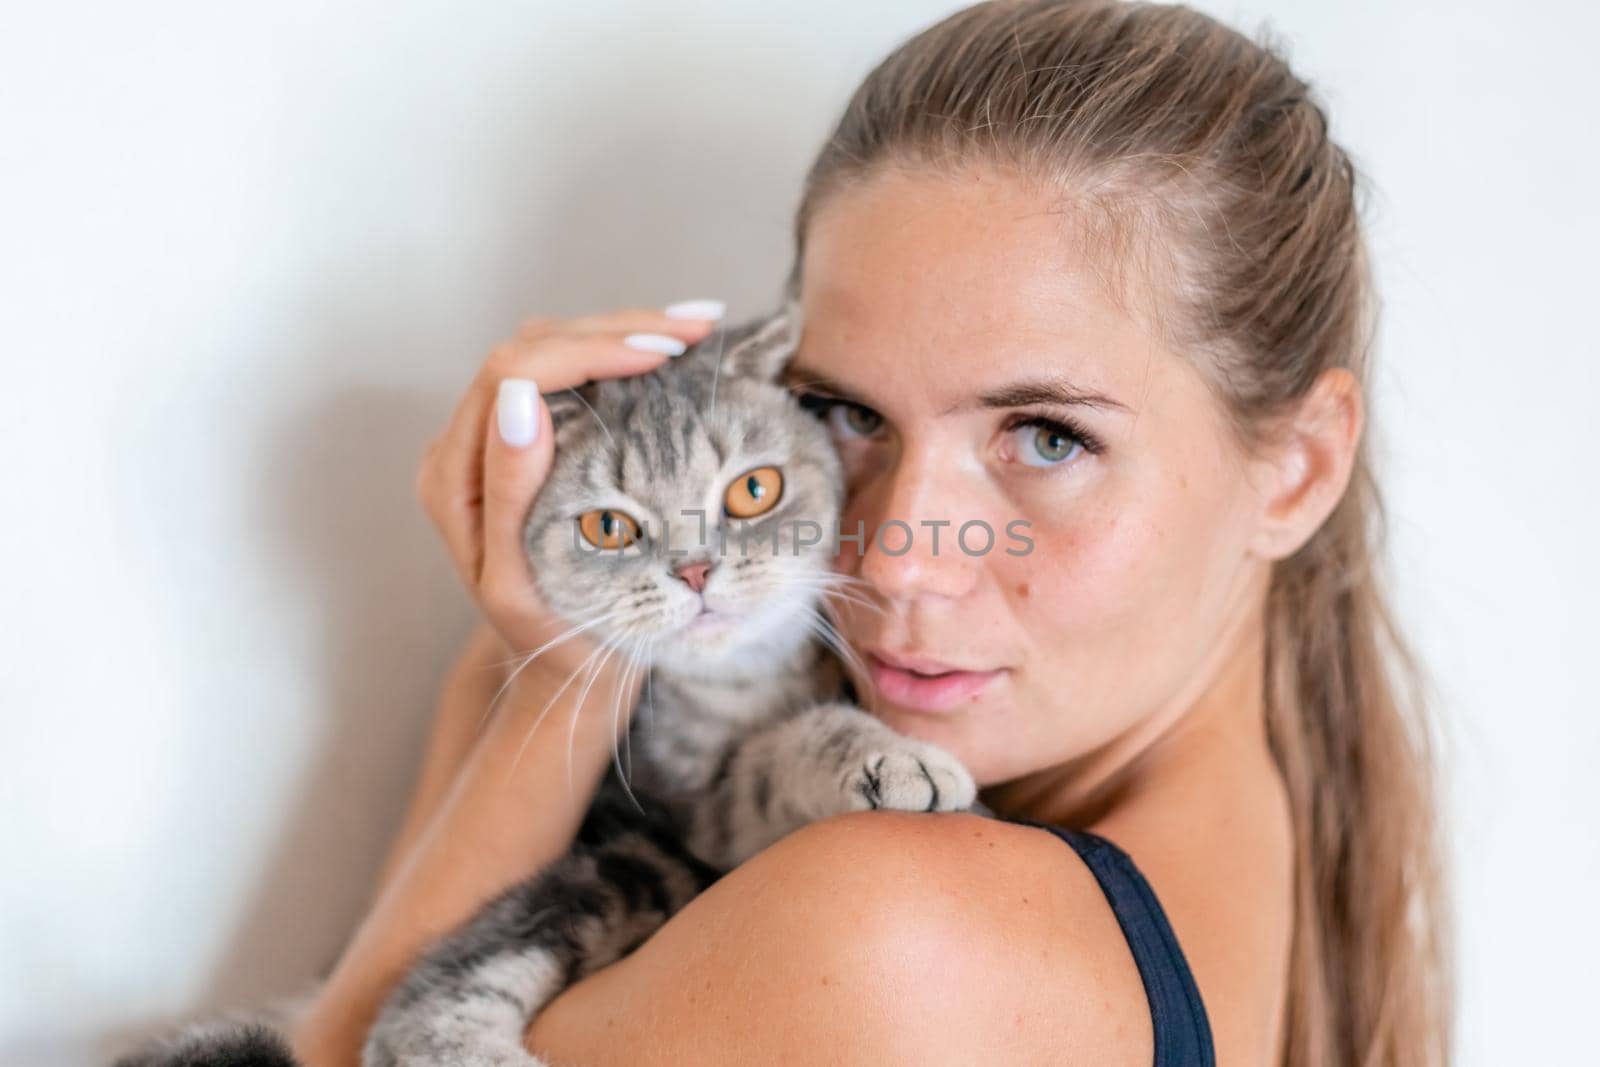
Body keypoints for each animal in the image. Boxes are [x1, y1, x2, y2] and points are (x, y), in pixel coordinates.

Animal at [109, 302, 972, 1067]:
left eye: (753, 490)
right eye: (608, 527)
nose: (696, 570)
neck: (738, 684)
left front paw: (890, 755)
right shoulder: (688, 809)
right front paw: (895, 758)